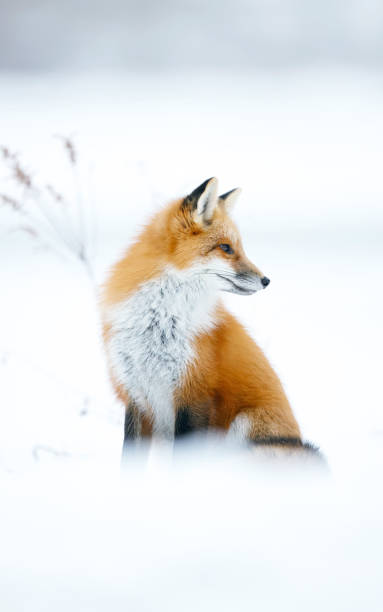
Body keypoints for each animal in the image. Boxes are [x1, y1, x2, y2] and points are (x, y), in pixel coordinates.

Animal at [100, 177, 320, 454]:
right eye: (226, 248)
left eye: (238, 247)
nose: (266, 280)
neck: (158, 322)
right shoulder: (137, 395)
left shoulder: (194, 395)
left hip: (243, 425)